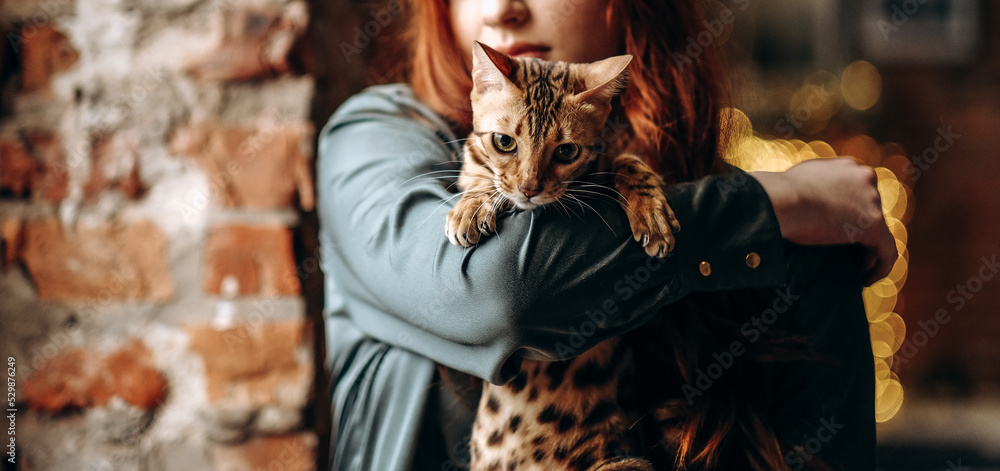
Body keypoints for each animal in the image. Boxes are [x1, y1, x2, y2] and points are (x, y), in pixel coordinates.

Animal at [448, 41, 680, 471]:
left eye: (567, 150)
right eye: (504, 141)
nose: (529, 189)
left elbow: (627, 160)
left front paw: (652, 210)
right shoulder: (471, 164)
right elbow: (482, 177)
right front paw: (472, 204)